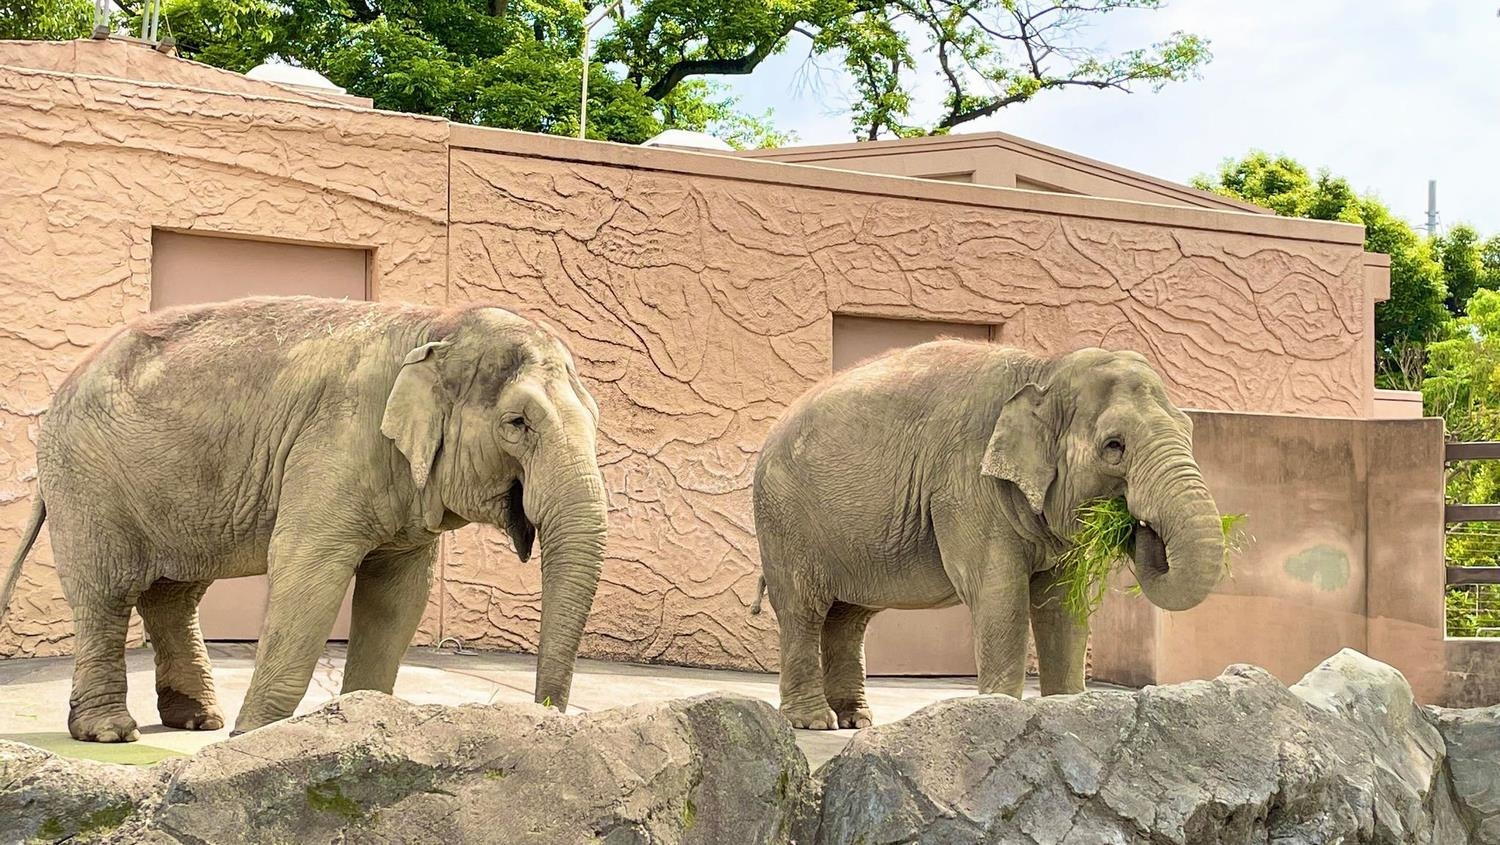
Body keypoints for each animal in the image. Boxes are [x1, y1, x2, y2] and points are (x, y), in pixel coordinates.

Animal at [2, 295, 609, 741]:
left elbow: (398, 594)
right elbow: (308, 572)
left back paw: (198, 721)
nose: (547, 718)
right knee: (106, 593)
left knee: (173, 594)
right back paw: (111, 732)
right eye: (517, 423)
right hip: (87, 482)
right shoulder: (336, 440)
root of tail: (61, 388)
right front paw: (252, 742)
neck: (435, 324)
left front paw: (363, 721)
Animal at [756, 340, 1224, 729]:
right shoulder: (966, 486)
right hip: (784, 521)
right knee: (803, 610)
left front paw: (1070, 708)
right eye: (1114, 446)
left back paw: (854, 721)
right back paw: (815, 723)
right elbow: (999, 594)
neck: (1045, 369)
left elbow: (1062, 604)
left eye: (1189, 432)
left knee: (849, 617)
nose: (1138, 525)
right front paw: (1000, 712)